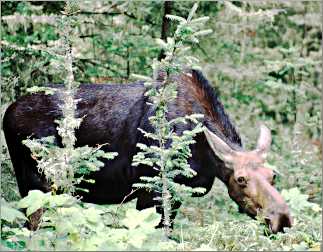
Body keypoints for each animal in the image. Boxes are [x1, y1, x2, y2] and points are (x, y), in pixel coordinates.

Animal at [2, 68, 294, 232]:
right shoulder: (149, 190)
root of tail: (8, 113)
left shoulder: (174, 195)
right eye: (241, 179)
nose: (282, 218)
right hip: (38, 181)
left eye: (273, 175)